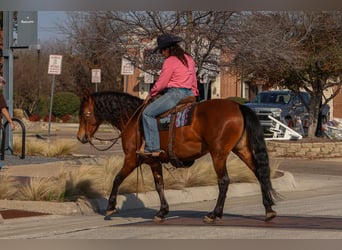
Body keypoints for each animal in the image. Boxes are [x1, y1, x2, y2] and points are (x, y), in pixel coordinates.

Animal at [77, 90, 278, 223]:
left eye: (85, 114)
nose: (80, 137)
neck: (133, 120)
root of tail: (238, 106)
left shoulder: (132, 159)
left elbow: (117, 178)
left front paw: (110, 208)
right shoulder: (153, 161)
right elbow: (159, 185)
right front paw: (162, 211)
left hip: (219, 154)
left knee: (224, 181)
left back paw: (214, 214)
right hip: (242, 149)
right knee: (259, 173)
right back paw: (268, 210)